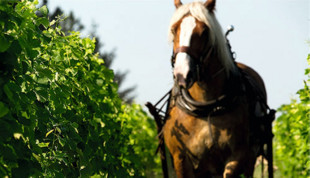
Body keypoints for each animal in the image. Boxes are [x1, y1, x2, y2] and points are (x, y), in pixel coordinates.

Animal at [160, 0, 274, 177]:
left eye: (204, 31)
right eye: (174, 29)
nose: (182, 74)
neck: (206, 107)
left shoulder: (236, 157)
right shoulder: (180, 160)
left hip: (250, 159)